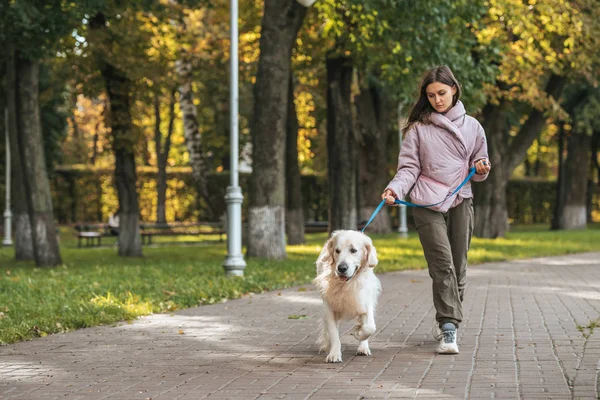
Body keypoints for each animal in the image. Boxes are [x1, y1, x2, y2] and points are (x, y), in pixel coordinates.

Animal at [312, 228, 382, 362]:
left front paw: (358, 333)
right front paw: (334, 354)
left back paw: (363, 348)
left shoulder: (365, 301)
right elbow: (333, 333)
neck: (348, 284)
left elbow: (370, 327)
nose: (342, 268)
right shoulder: (329, 306)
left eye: (353, 250)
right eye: (337, 251)